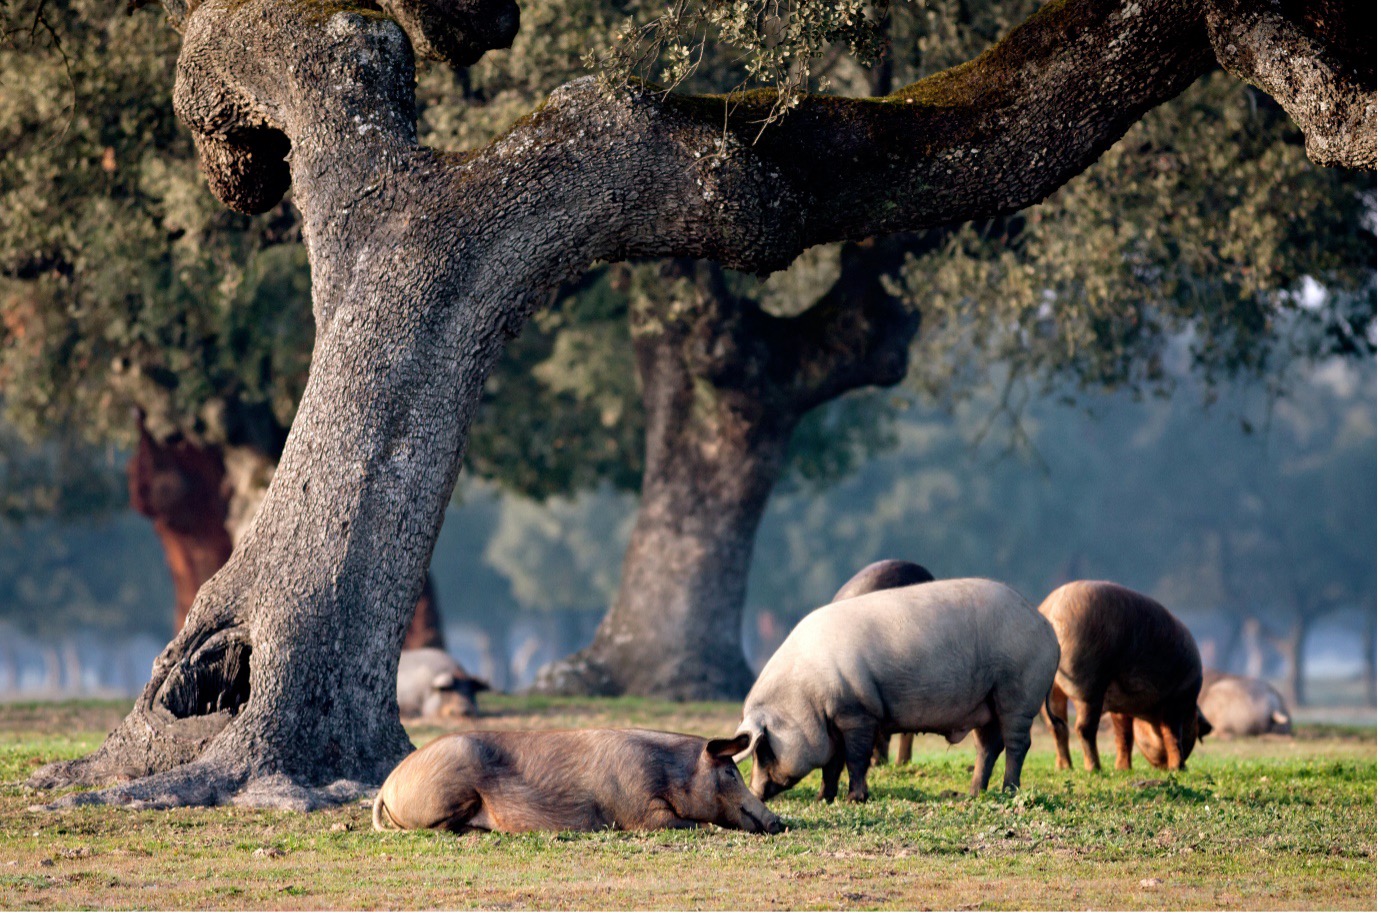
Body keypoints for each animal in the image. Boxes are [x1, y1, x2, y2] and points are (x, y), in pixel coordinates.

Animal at [372, 729, 784, 834]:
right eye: (730, 772)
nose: (779, 821)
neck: (670, 773)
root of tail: (387, 785)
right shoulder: (637, 808)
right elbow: (687, 823)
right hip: (448, 791)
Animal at [734, 580, 1055, 801]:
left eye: (763, 749)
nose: (755, 792)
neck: (806, 694)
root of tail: (1045, 625)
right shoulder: (832, 724)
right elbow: (832, 765)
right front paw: (822, 799)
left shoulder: (858, 713)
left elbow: (856, 759)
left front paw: (854, 800)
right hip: (985, 703)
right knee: (988, 746)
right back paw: (974, 794)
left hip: (1018, 692)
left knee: (1017, 743)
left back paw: (1008, 791)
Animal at [1038, 580, 1209, 773]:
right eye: (1195, 726)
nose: (1164, 768)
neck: (1147, 714)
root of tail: (1051, 611)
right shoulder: (1177, 700)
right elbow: (1172, 735)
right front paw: (1179, 769)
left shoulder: (1121, 708)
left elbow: (1124, 735)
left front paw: (1122, 769)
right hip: (1088, 686)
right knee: (1083, 728)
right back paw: (1095, 768)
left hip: (1052, 689)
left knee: (1058, 727)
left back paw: (1065, 767)